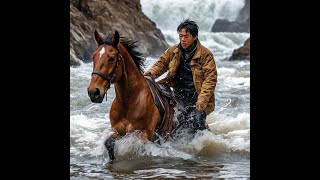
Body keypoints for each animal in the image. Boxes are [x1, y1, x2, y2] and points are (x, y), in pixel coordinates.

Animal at [86, 30, 174, 162]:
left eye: (111, 58)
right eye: (93, 57)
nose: (93, 92)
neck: (129, 100)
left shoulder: (145, 134)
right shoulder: (118, 131)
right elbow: (109, 143)